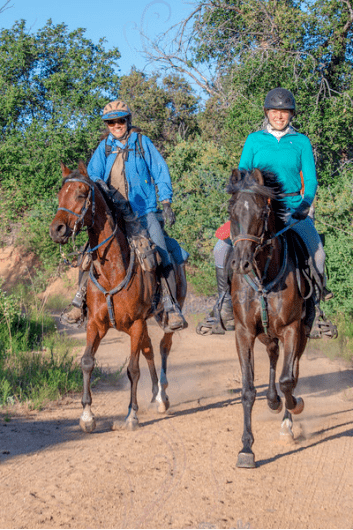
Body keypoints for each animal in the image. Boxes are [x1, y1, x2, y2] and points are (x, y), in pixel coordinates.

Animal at [50, 163, 187, 432]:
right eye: (60, 194)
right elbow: (87, 361)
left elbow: (133, 369)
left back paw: (162, 397)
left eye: (81, 194)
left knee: (163, 347)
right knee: (149, 349)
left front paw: (131, 415)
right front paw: (87, 416)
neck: (113, 271)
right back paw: (154, 394)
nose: (57, 230)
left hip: (165, 316)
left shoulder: (136, 323)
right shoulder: (95, 324)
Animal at [227, 168, 306, 466]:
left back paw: (287, 421)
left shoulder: (293, 329)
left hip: (301, 333)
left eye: (262, 213)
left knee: (292, 371)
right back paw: (273, 401)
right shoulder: (244, 333)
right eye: (232, 212)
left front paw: (294, 407)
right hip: (265, 335)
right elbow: (248, 389)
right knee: (273, 356)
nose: (241, 263)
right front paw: (246, 449)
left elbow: (288, 380)